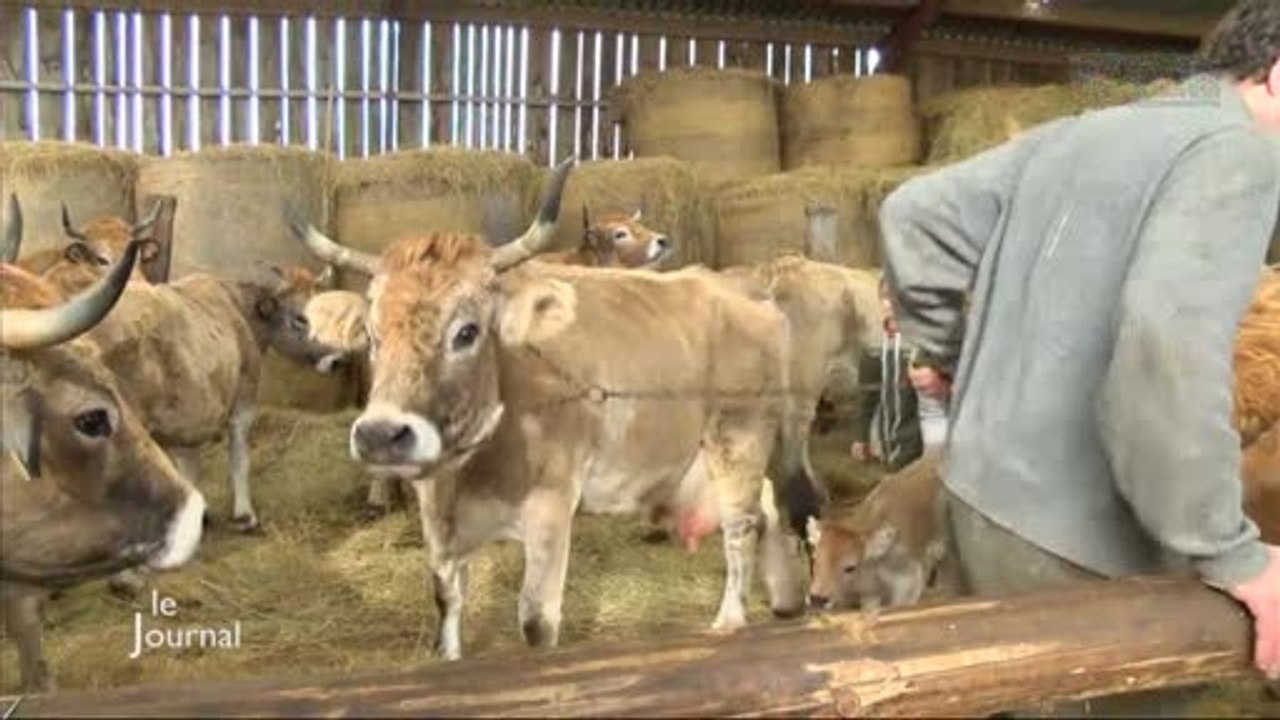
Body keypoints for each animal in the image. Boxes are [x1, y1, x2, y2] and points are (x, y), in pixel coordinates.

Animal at [287, 157, 816, 660]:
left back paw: (729, 621)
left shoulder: (551, 505)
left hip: (740, 436)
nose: (380, 435)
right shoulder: (437, 515)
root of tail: (740, 289)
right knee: (768, 505)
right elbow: (446, 602)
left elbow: (536, 622)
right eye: (373, 335)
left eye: (467, 331)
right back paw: (786, 596)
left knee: (740, 525)